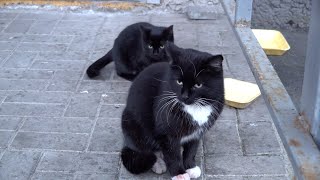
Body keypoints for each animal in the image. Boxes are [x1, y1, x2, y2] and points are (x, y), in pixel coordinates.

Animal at [120, 43, 225, 179]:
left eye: (198, 85)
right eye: (179, 81)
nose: (185, 96)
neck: (195, 108)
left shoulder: (198, 131)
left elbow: (192, 148)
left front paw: (190, 166)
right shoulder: (166, 132)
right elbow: (172, 153)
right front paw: (179, 174)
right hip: (131, 124)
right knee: (145, 150)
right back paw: (158, 163)